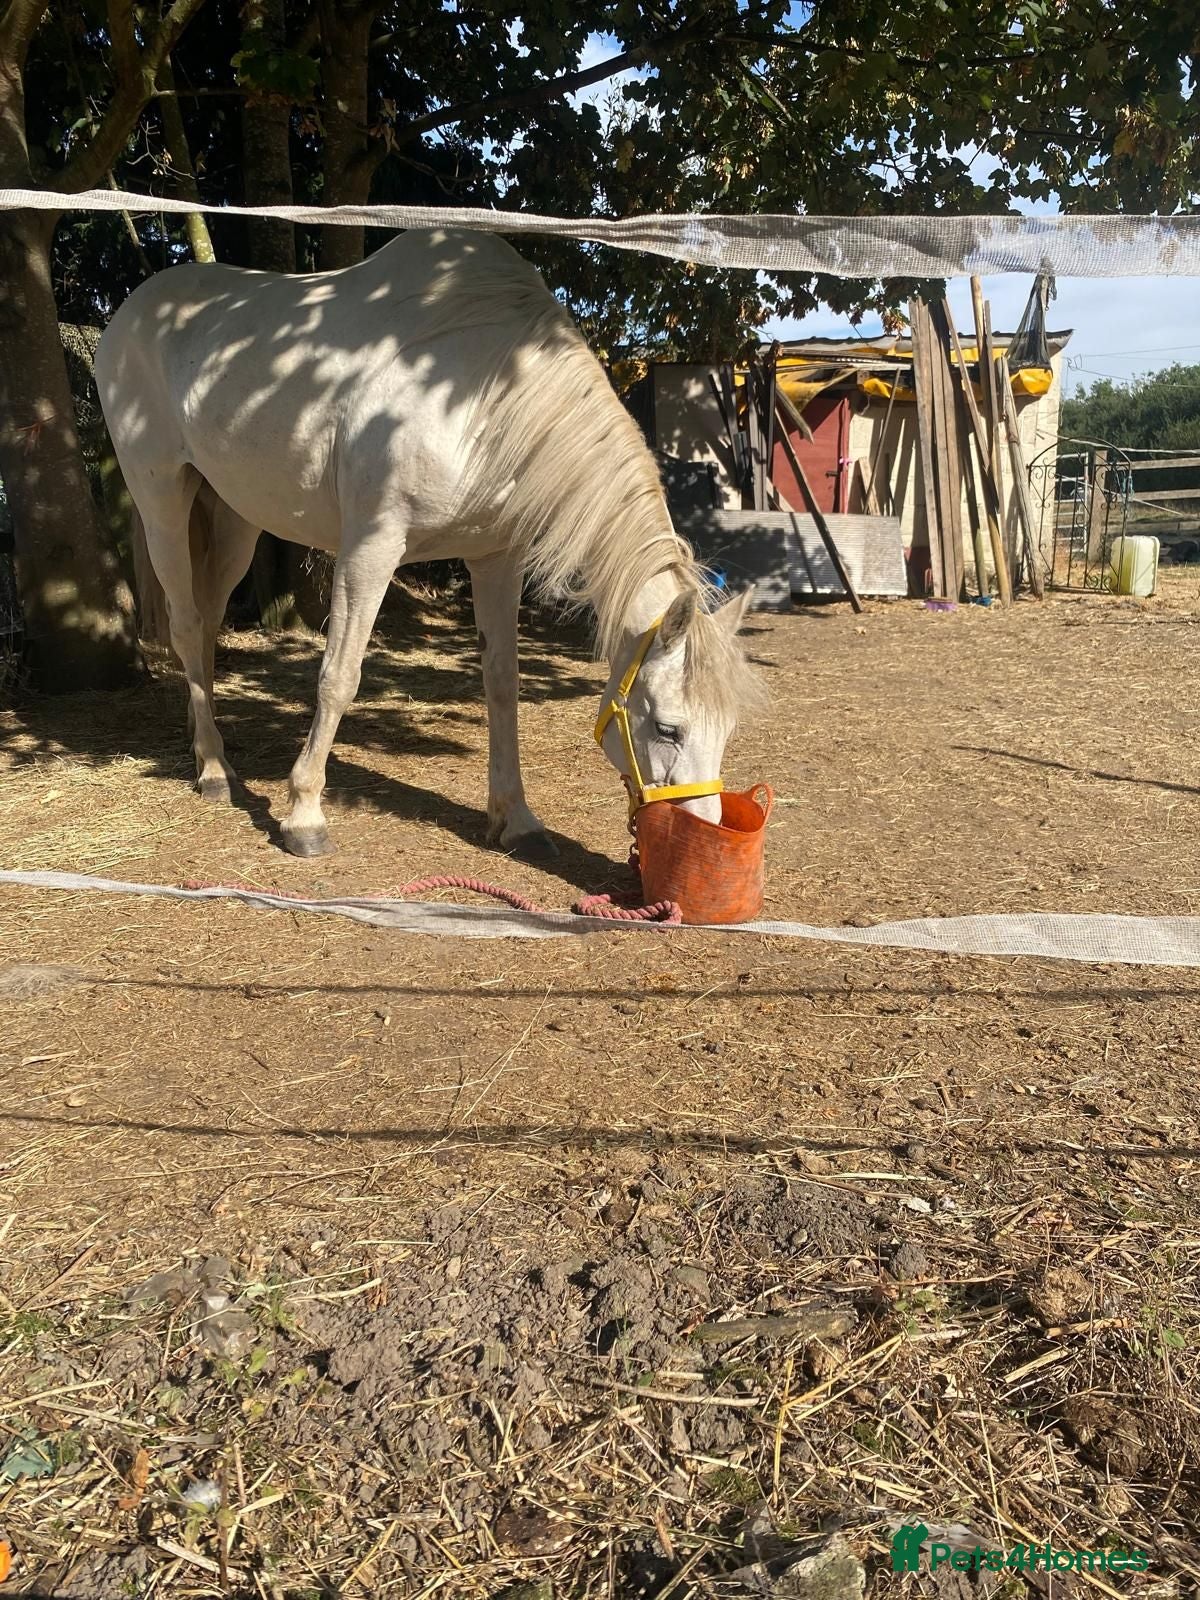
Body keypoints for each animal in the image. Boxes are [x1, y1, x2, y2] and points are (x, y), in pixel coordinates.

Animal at [96, 228, 759, 861]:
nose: (700, 829)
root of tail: (129, 314)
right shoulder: (371, 548)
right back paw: (211, 768)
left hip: (236, 518)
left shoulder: (496, 560)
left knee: (208, 619)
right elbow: (339, 676)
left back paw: (203, 741)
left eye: (729, 730)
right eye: (669, 728)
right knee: (186, 624)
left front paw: (516, 820)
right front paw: (304, 814)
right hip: (162, 499)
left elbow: (502, 683)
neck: (476, 392)